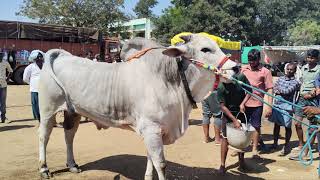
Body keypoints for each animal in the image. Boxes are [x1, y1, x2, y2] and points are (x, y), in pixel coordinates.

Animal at [38, 33, 238, 179]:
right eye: (205, 49)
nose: (236, 68)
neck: (170, 81)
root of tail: (62, 55)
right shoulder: (151, 128)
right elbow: (161, 164)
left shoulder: (154, 131)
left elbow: (151, 158)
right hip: (48, 110)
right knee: (44, 136)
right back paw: (44, 168)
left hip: (73, 111)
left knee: (69, 135)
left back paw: (72, 165)